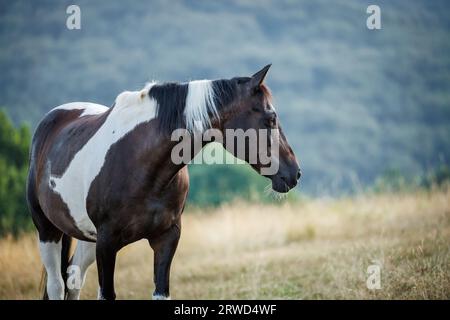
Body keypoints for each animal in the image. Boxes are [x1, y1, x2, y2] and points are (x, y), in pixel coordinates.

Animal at [26, 63, 300, 298]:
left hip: (86, 237)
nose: (294, 173)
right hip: (48, 231)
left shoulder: (166, 239)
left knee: (74, 280)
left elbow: (161, 291)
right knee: (57, 285)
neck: (141, 164)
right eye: (270, 118)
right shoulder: (106, 243)